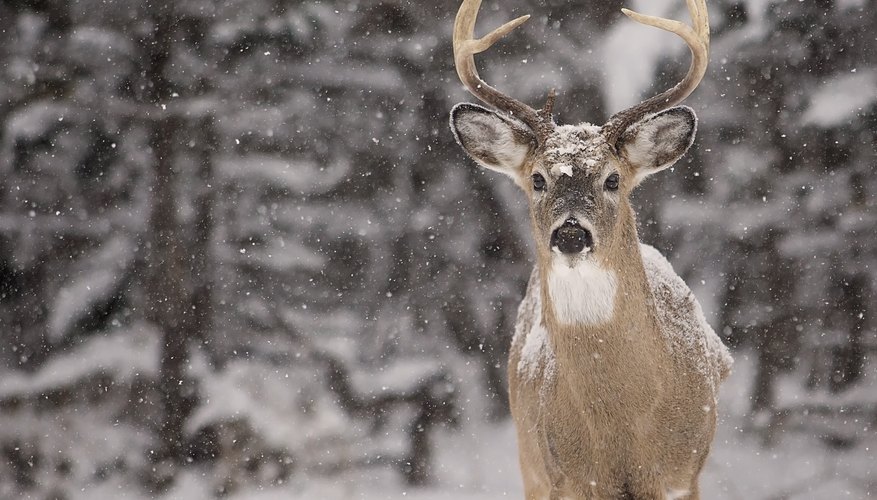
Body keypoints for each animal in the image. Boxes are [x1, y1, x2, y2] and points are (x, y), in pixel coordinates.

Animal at [448, 0, 736, 498]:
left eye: (613, 179)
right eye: (538, 179)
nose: (570, 235)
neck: (622, 435)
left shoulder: (683, 476)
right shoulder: (565, 480)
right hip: (528, 461)